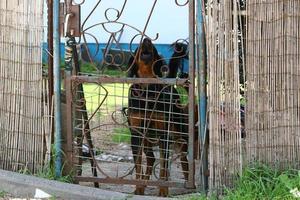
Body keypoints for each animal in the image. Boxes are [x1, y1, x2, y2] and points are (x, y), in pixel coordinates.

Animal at [126, 38, 192, 197]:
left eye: (154, 47)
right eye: (138, 45)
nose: (147, 40)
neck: (147, 90)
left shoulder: (164, 134)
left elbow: (163, 166)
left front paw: (163, 190)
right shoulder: (136, 134)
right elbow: (138, 165)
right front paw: (139, 187)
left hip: (179, 132)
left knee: (183, 158)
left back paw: (188, 183)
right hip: (146, 139)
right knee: (151, 158)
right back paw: (144, 182)